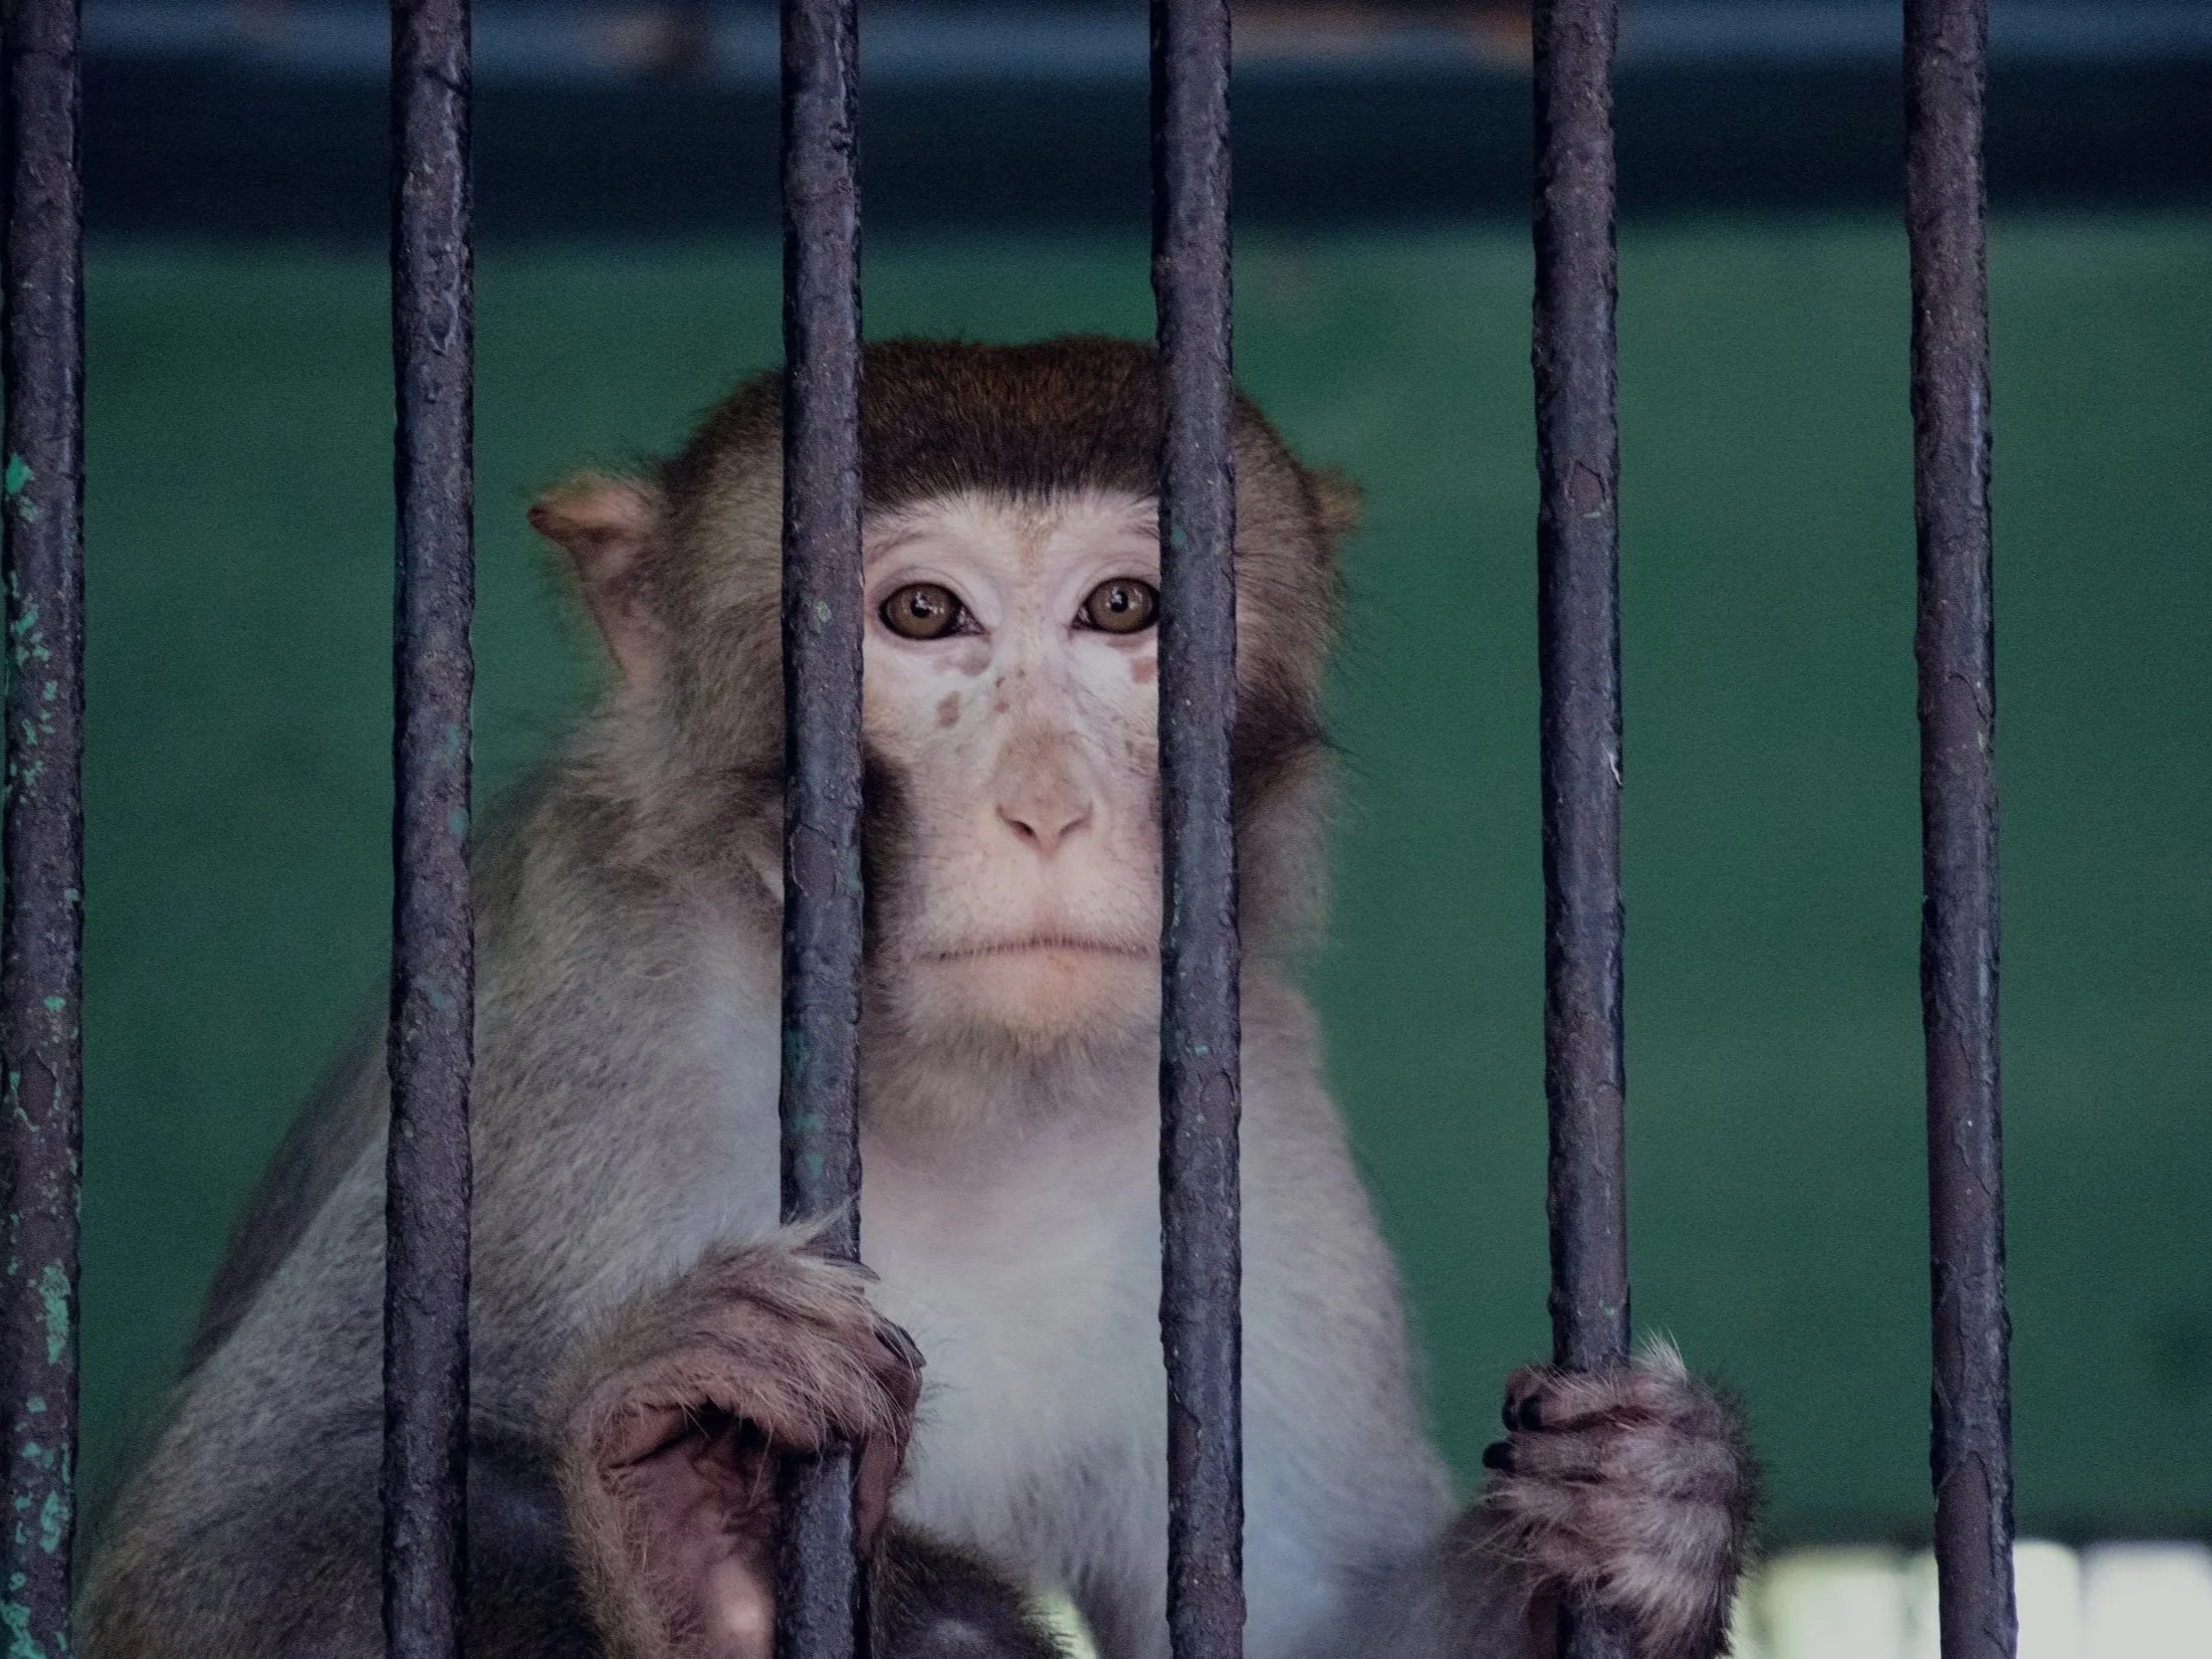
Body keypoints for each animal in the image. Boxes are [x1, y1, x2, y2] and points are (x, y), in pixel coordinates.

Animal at [79, 337, 1755, 1659]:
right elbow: (240, 1528)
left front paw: (1663, 1513)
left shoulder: (1254, 1092)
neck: (946, 1092)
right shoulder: (580, 998)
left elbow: (1308, 1625)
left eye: (1125, 607)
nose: (1046, 810)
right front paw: (685, 1526)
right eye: (925, 617)